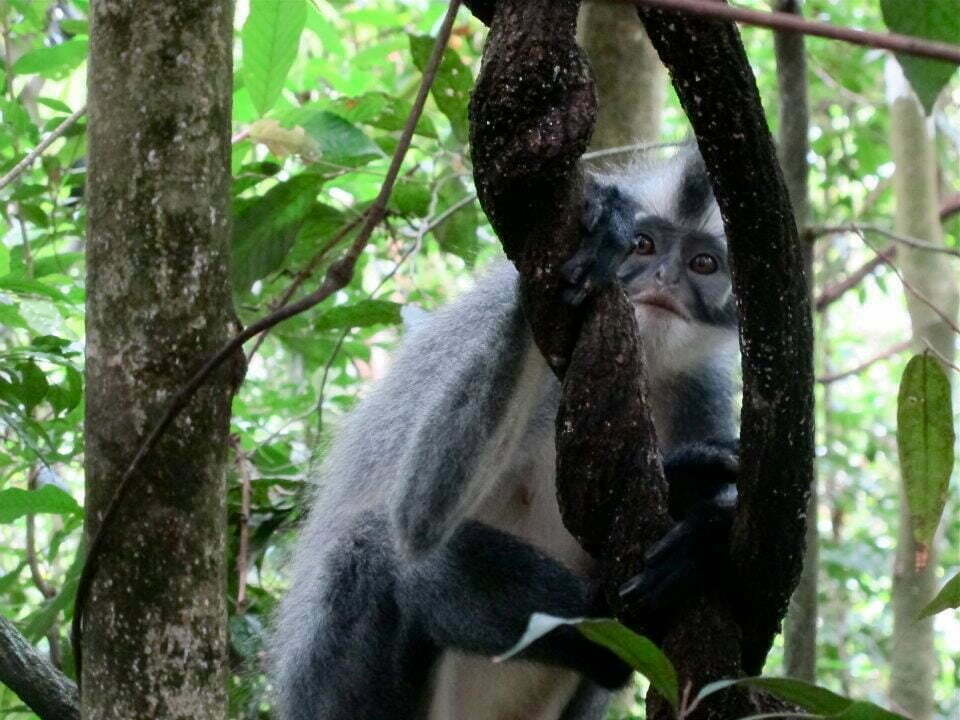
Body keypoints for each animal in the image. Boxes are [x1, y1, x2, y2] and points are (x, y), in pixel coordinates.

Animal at [270, 148, 744, 720]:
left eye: (702, 264)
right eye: (644, 245)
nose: (664, 279)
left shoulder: (701, 391)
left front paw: (705, 515)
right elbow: (418, 515)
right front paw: (598, 231)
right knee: (379, 546)